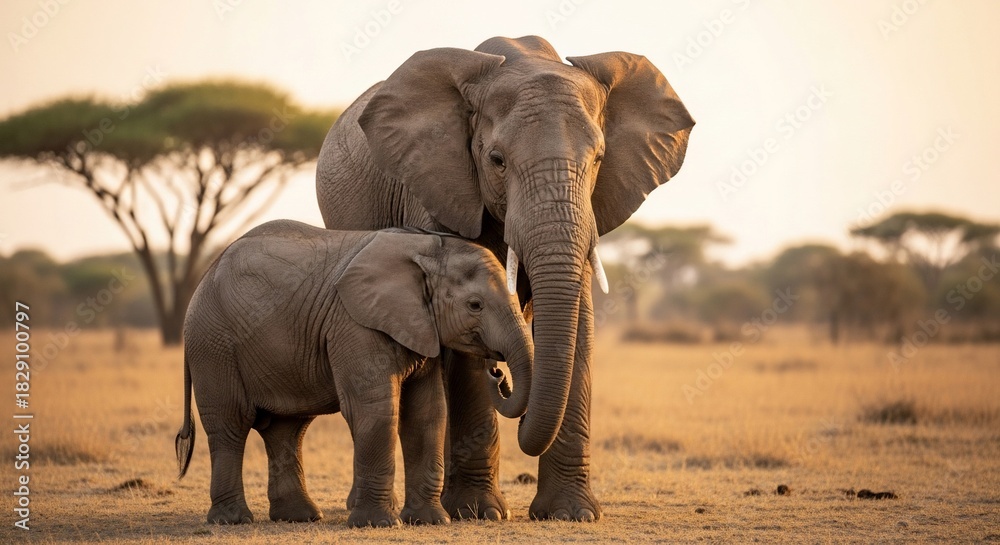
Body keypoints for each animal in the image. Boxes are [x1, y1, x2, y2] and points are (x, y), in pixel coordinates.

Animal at [174, 220, 533, 527]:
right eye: (475, 305)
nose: (496, 373)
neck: (428, 247)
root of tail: (205, 276)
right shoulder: (354, 324)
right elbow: (375, 409)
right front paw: (380, 524)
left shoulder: (420, 326)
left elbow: (427, 413)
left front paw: (430, 521)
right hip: (212, 344)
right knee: (230, 424)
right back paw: (233, 520)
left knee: (286, 429)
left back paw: (300, 517)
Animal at [315, 35, 694, 522]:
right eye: (496, 160)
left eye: (599, 160)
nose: (500, 375)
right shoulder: (440, 188)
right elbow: (461, 335)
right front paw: (479, 512)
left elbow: (580, 327)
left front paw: (571, 514)